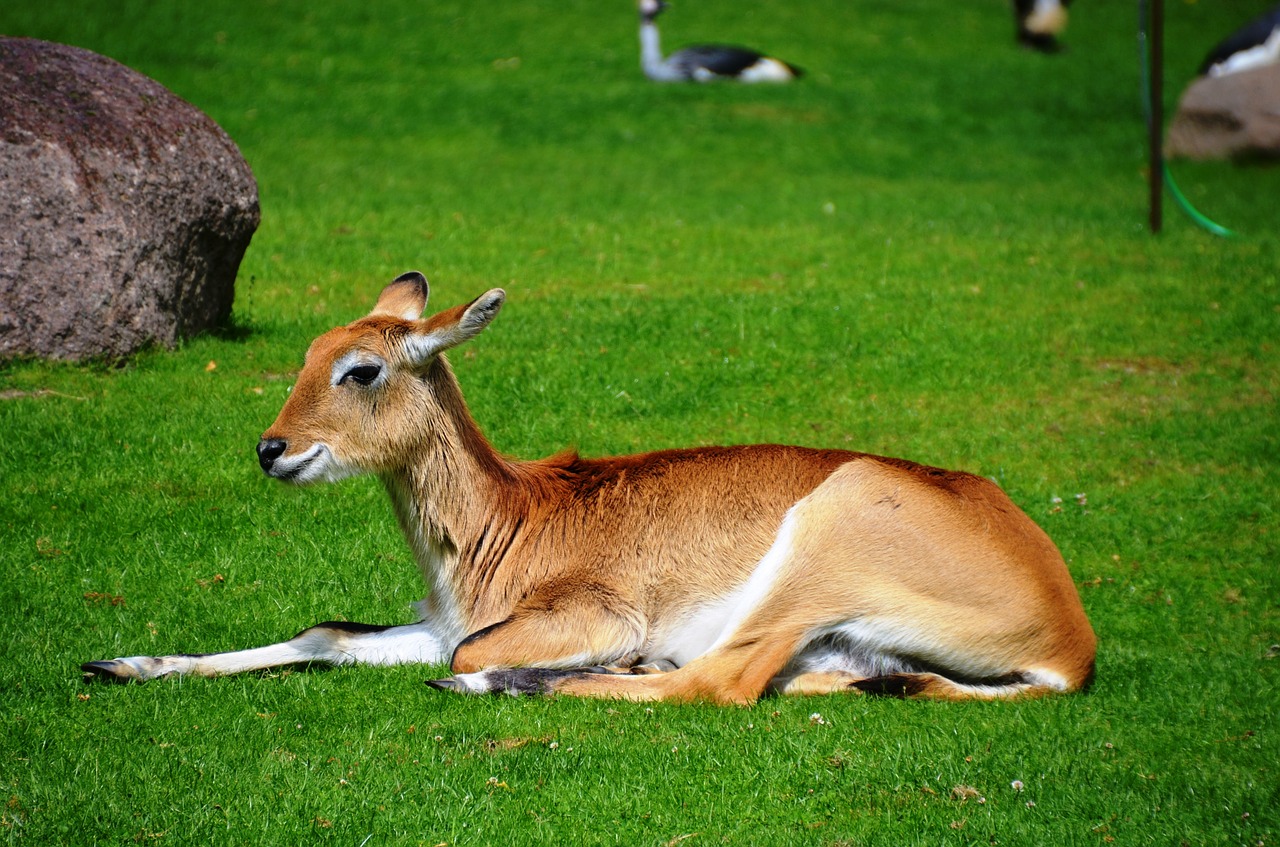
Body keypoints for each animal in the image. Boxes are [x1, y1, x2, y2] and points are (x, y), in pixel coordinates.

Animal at [82, 275, 1100, 706]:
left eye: (361, 367)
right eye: (306, 353)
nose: (273, 449)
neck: (509, 520)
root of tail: (1070, 640)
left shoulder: (579, 613)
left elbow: (461, 649)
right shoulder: (437, 621)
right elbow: (326, 632)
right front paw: (120, 663)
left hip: (820, 543)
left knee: (720, 683)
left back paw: (513, 683)